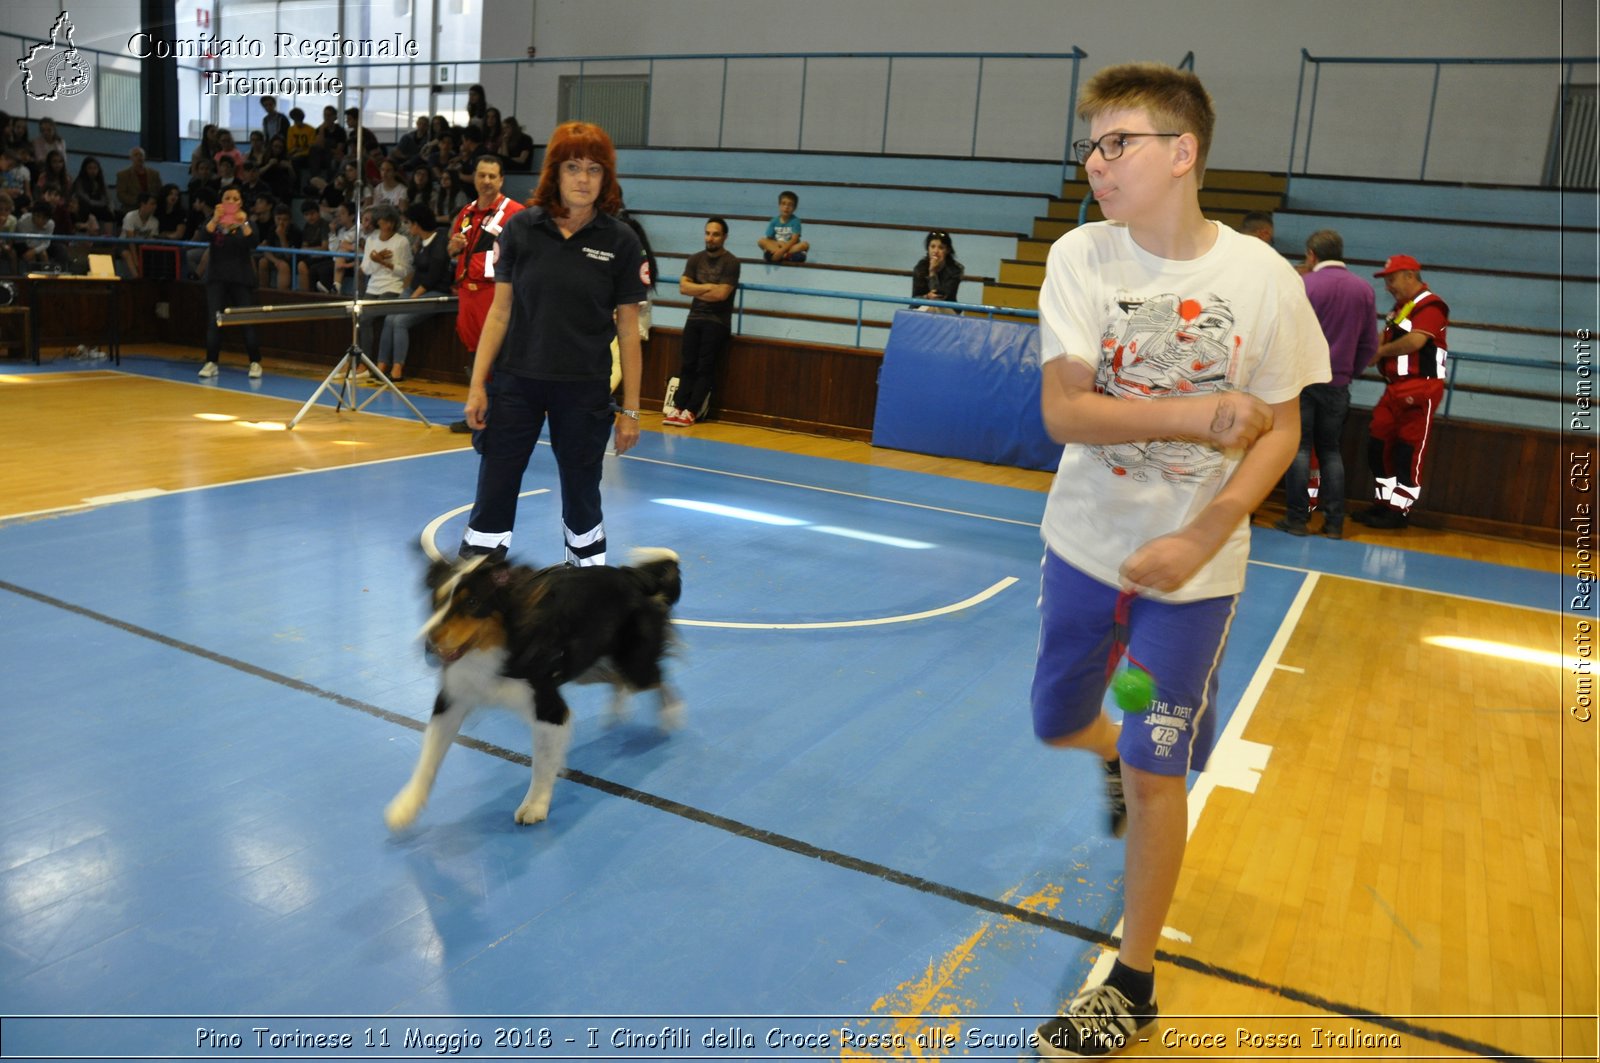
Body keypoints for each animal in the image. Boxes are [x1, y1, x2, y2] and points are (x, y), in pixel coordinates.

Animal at [392, 547, 688, 832]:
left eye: (472, 603)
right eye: (436, 601)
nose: (428, 646)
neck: (492, 647)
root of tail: (636, 577)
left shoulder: (548, 706)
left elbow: (542, 763)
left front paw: (534, 806)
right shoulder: (452, 700)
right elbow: (428, 757)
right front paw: (406, 805)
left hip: (634, 664)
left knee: (657, 678)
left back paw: (671, 714)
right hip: (589, 665)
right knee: (618, 678)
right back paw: (617, 711)